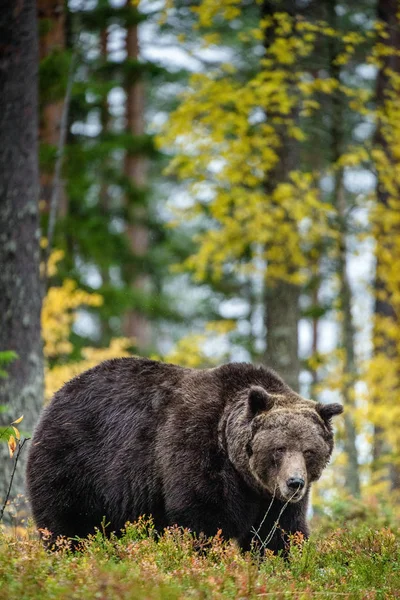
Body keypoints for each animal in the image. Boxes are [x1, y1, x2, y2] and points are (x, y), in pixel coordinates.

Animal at [25, 358, 344, 556]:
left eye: (309, 451)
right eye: (278, 448)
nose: (294, 483)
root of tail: (60, 392)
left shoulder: (271, 500)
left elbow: (279, 535)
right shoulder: (195, 452)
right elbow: (202, 523)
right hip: (76, 463)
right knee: (68, 524)